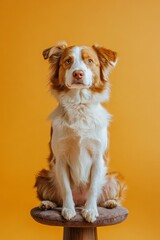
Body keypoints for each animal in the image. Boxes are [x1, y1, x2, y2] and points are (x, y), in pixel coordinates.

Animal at [34, 40, 126, 222]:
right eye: (67, 61)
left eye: (89, 61)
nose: (78, 74)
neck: (79, 105)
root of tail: (79, 201)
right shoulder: (61, 157)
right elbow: (66, 188)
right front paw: (68, 210)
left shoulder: (98, 157)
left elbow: (93, 188)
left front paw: (90, 210)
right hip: (43, 177)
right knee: (56, 197)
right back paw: (48, 204)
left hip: (114, 178)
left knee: (105, 197)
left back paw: (110, 203)